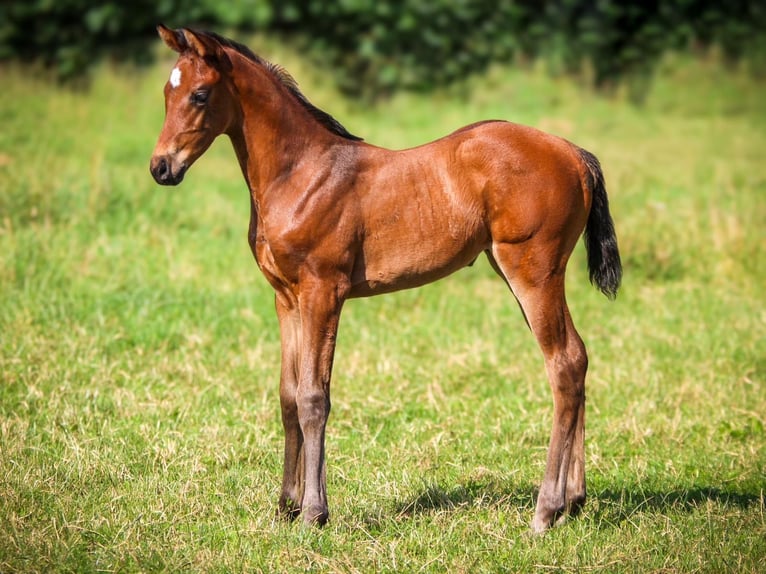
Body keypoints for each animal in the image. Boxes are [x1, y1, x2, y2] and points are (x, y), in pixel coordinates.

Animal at [152, 24, 624, 532]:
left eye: (200, 95)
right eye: (167, 92)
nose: (161, 168)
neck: (301, 173)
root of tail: (574, 153)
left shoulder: (323, 291)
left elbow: (314, 398)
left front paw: (314, 513)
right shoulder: (286, 298)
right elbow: (288, 398)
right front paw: (285, 506)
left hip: (533, 271)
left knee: (563, 366)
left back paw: (545, 510)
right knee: (577, 358)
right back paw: (574, 500)